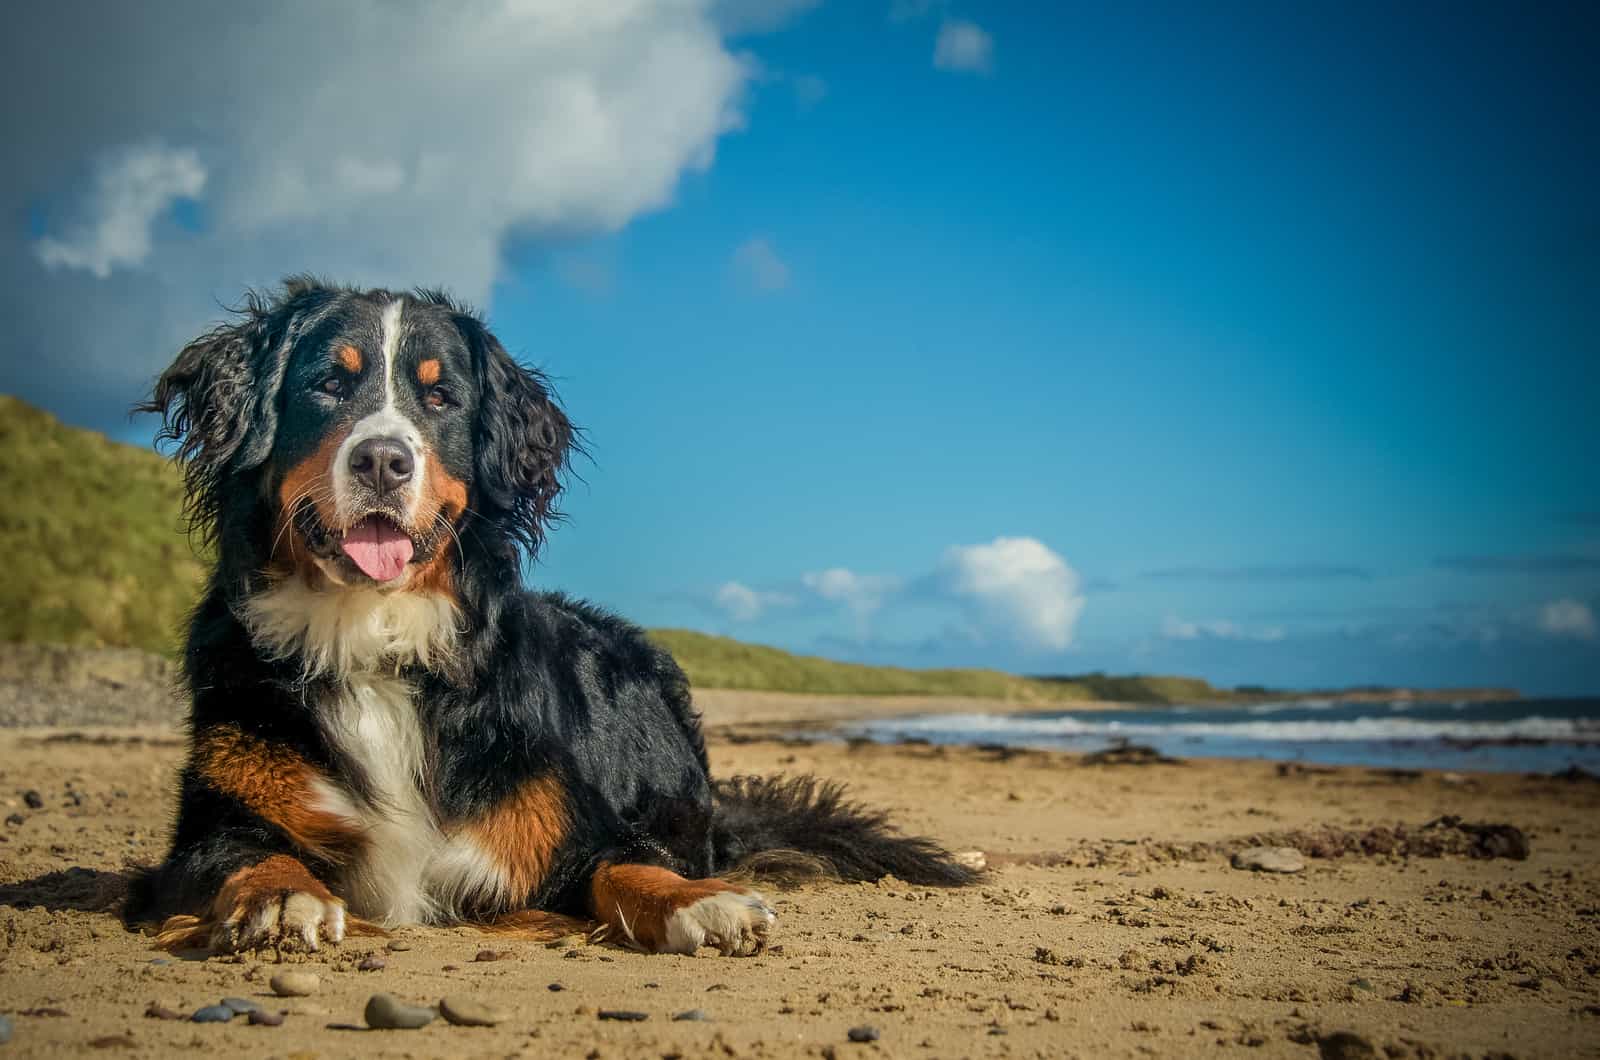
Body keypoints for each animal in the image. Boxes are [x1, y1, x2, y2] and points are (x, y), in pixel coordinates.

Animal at [128, 278, 972, 960]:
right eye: (328, 385)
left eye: (441, 399)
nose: (382, 461)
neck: (376, 638)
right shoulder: (208, 829)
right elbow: (245, 856)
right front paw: (280, 895)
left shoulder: (569, 832)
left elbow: (626, 863)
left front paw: (702, 904)